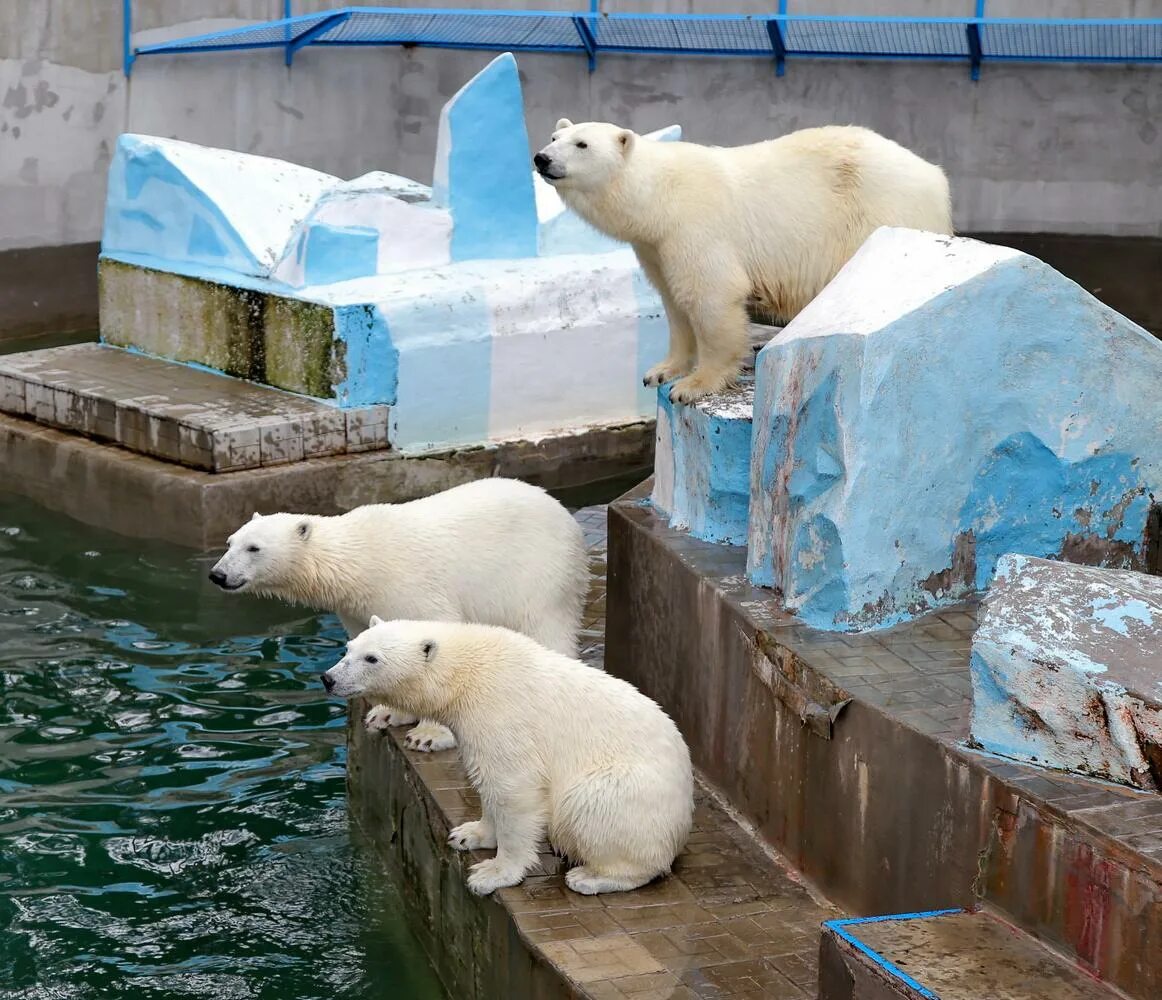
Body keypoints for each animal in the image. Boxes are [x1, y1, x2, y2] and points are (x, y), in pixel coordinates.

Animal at [206, 476, 590, 747]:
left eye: (254, 548)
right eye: (230, 542)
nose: (218, 575)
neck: (359, 562)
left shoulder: (410, 586)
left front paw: (429, 735)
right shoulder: (356, 606)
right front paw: (387, 713)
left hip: (537, 573)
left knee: (544, 626)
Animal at [323, 622, 692, 891]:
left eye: (372, 658)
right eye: (349, 648)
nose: (328, 678)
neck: (469, 673)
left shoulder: (503, 715)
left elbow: (514, 790)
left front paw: (493, 874)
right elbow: (486, 782)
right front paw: (469, 834)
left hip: (627, 792)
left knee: (589, 806)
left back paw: (590, 877)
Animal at [534, 123, 952, 404]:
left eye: (582, 144)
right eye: (554, 138)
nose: (542, 158)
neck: (658, 197)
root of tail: (935, 174)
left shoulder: (697, 227)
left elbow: (711, 296)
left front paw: (693, 386)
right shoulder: (655, 246)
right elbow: (673, 301)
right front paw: (661, 371)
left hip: (883, 209)